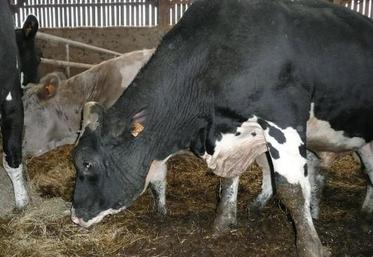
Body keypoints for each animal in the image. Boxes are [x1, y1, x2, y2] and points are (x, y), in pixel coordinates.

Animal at [70, 1, 372, 255]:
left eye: (87, 163)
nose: (74, 215)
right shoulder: (232, 133)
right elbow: (228, 180)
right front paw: (222, 223)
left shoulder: (283, 118)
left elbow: (291, 190)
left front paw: (311, 247)